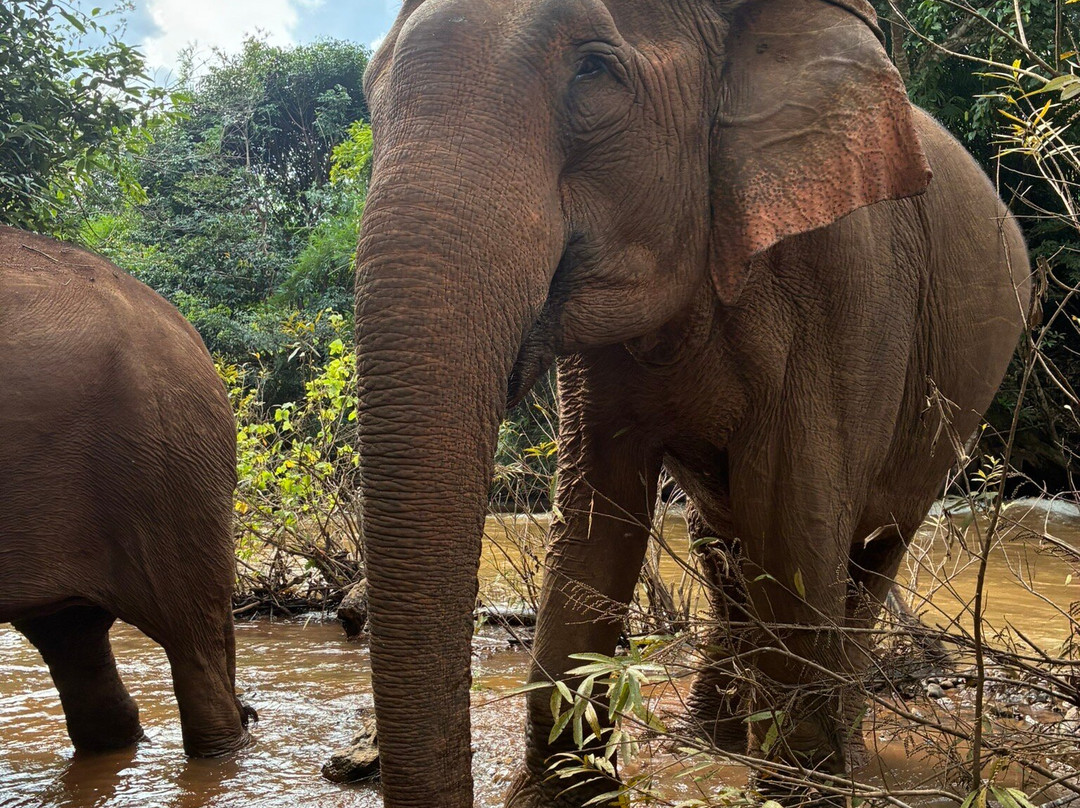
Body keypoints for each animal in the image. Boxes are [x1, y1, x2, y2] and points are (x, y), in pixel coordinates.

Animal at [352, 0, 1032, 805]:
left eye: (594, 71)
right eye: (370, 92)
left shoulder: (850, 282)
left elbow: (795, 525)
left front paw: (797, 789)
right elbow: (594, 518)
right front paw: (560, 793)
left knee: (869, 553)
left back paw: (837, 750)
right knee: (724, 546)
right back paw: (715, 738)